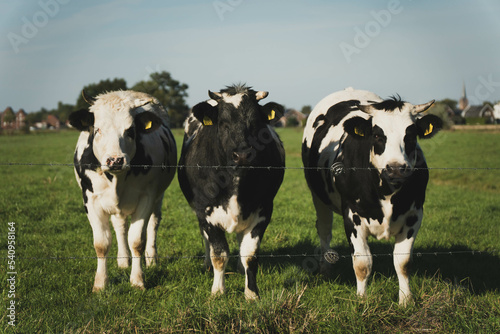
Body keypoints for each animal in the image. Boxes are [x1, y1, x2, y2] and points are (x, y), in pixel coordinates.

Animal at [68, 90, 178, 290]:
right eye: (97, 130)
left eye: (130, 131)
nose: (115, 160)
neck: (116, 180)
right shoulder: (90, 200)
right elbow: (101, 244)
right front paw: (100, 283)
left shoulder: (146, 197)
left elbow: (137, 241)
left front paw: (137, 280)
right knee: (120, 226)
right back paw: (123, 260)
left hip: (158, 197)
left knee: (153, 223)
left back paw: (151, 259)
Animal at [179, 84, 286, 300]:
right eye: (223, 123)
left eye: (255, 123)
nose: (243, 155)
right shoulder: (206, 211)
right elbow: (219, 254)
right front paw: (218, 291)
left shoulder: (263, 210)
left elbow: (250, 254)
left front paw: (251, 293)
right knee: (206, 239)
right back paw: (207, 265)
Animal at [300, 87, 442, 306]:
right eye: (377, 135)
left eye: (411, 135)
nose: (396, 168)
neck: (388, 192)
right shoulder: (352, 216)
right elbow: (362, 263)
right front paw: (361, 300)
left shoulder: (414, 215)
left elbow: (403, 262)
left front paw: (405, 300)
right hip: (318, 196)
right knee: (324, 230)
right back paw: (325, 269)